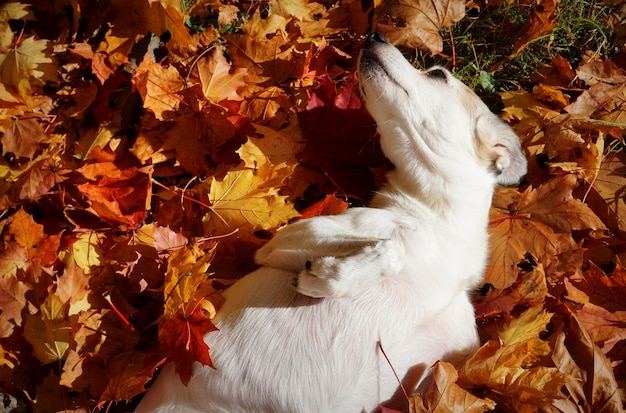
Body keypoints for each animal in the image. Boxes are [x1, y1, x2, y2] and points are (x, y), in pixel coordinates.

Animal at [134, 33, 524, 412]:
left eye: (438, 75)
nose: (374, 35)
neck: (440, 233)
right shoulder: (286, 241)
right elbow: (393, 249)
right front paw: (329, 277)